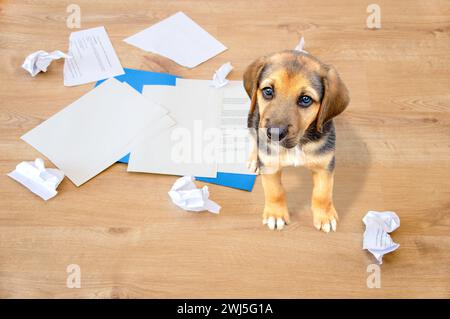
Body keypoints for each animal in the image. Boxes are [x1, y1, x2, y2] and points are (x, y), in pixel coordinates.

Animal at [244, 51, 350, 234]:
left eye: (305, 99)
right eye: (268, 91)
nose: (274, 134)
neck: (298, 144)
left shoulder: (325, 164)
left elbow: (323, 193)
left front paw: (325, 216)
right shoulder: (270, 164)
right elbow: (274, 191)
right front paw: (276, 215)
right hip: (253, 118)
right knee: (255, 137)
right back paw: (254, 159)